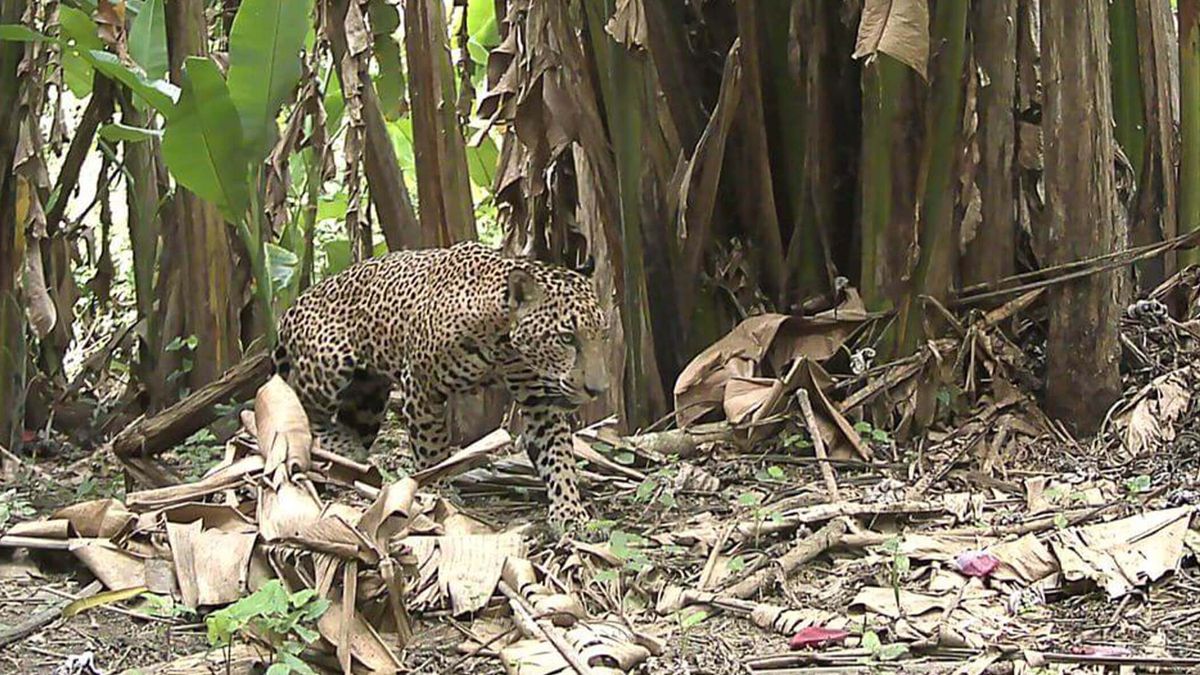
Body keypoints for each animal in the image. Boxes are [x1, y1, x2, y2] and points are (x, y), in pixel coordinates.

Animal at [271, 240, 610, 534]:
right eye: (567, 338)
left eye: (603, 335)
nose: (599, 390)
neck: (504, 345)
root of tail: (295, 303)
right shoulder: (420, 385)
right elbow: (431, 448)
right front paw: (438, 492)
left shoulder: (539, 401)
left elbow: (558, 455)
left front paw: (570, 512)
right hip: (329, 363)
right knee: (296, 401)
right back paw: (341, 444)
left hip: (368, 398)